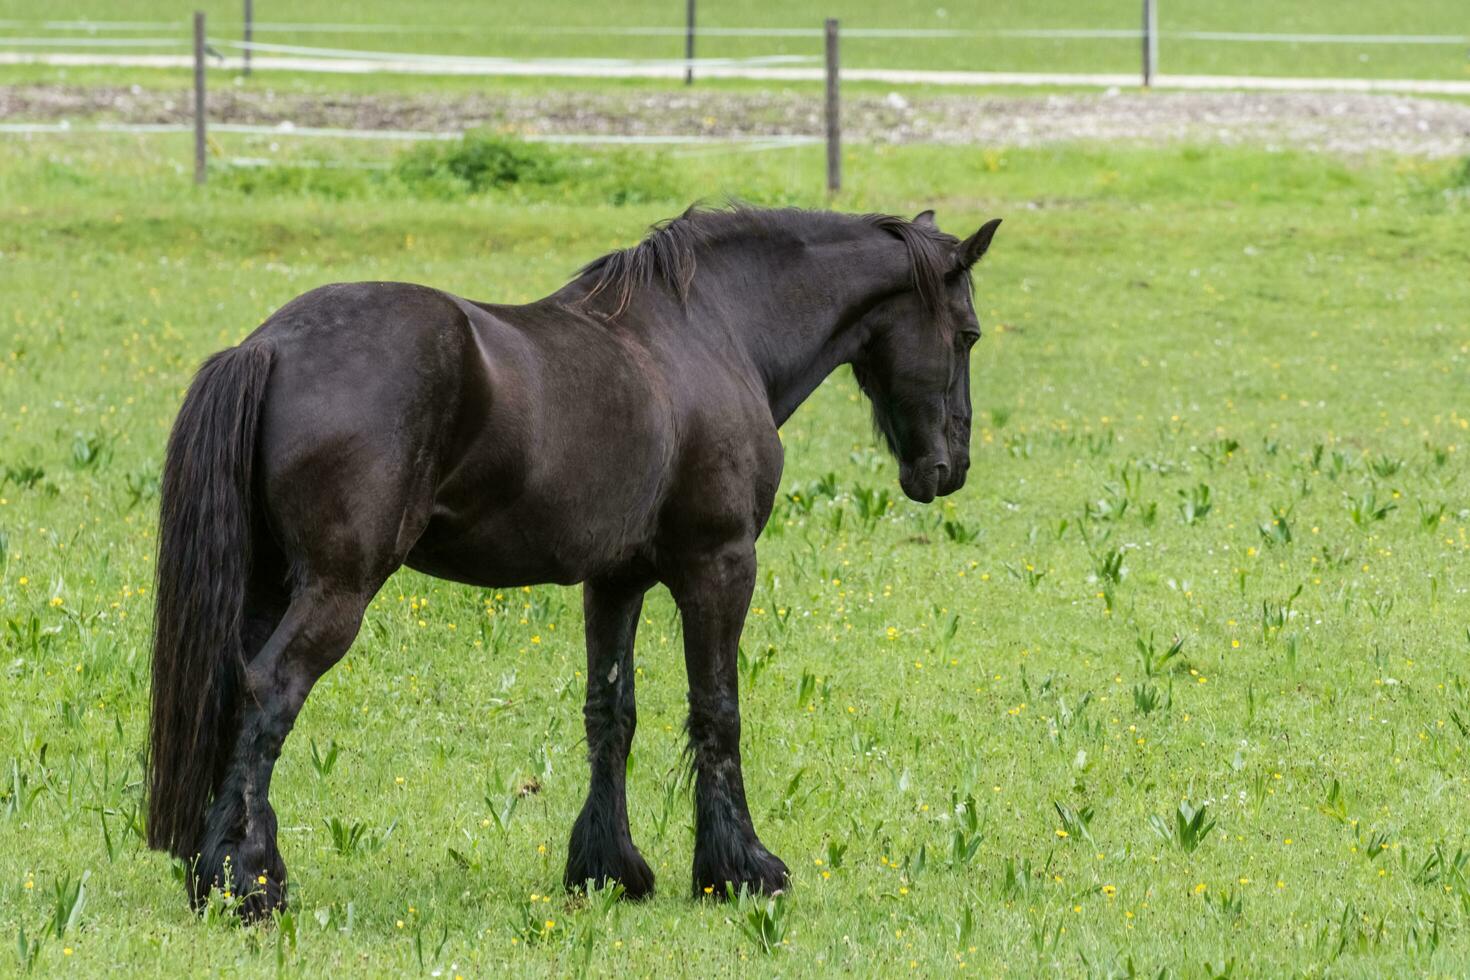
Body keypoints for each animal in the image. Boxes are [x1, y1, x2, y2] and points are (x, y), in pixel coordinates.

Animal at [146, 205, 999, 922]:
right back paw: (251, 882)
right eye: (968, 334)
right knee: (269, 692)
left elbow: (610, 713)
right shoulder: (719, 565)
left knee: (233, 689)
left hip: (267, 585)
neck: (711, 332)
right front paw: (741, 870)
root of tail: (270, 344)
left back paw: (213, 869)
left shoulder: (615, 580)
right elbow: (717, 711)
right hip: (335, 591)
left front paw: (608, 868)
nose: (949, 468)